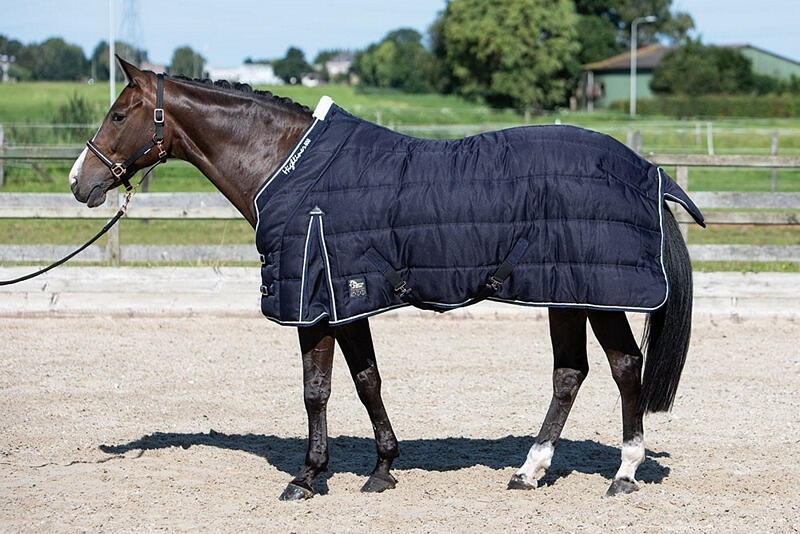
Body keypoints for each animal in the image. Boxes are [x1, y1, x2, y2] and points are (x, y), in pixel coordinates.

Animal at [69, 57, 699, 500]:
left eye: (119, 114)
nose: (80, 181)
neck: (288, 167)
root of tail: (647, 171)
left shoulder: (314, 302)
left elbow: (317, 389)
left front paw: (307, 478)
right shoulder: (347, 301)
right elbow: (366, 379)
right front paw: (382, 468)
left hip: (597, 293)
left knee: (624, 367)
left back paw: (623, 473)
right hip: (565, 292)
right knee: (571, 374)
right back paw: (530, 470)